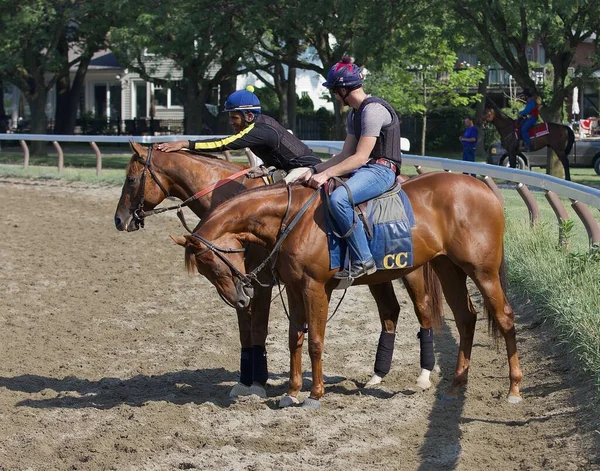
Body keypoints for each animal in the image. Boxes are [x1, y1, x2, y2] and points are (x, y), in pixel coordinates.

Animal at [112, 143, 442, 398]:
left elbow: (258, 328)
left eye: (131, 179)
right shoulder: (251, 285)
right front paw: (246, 381)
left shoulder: (260, 285)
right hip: (379, 276)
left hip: (411, 271)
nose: (119, 220)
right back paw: (377, 375)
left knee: (423, 311)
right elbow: (246, 333)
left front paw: (258, 382)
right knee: (389, 313)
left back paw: (424, 375)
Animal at [171, 173, 524, 410]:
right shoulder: (295, 290)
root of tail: (483, 188)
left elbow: (315, 341)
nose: (241, 299)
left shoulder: (315, 289)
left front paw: (314, 395)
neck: (293, 219)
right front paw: (292, 392)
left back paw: (513, 389)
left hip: (481, 272)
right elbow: (294, 339)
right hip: (448, 269)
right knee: (465, 318)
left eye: (211, 263)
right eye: (205, 269)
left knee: (504, 318)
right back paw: (456, 384)